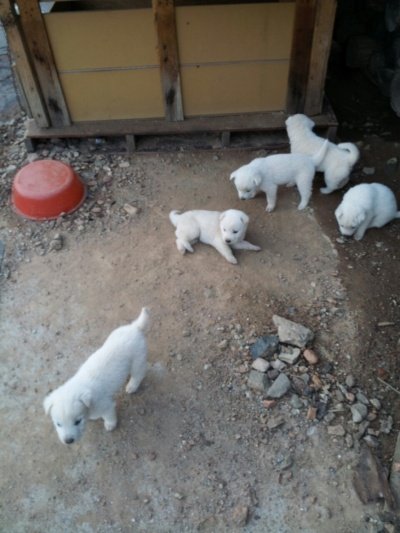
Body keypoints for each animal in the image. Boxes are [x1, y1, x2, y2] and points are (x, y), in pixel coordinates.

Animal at [44, 308, 149, 444]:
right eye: (58, 424)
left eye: (77, 421)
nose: (68, 441)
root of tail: (135, 327)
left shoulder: (106, 406)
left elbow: (109, 416)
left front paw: (110, 425)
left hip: (138, 360)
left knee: (138, 374)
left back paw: (132, 386)